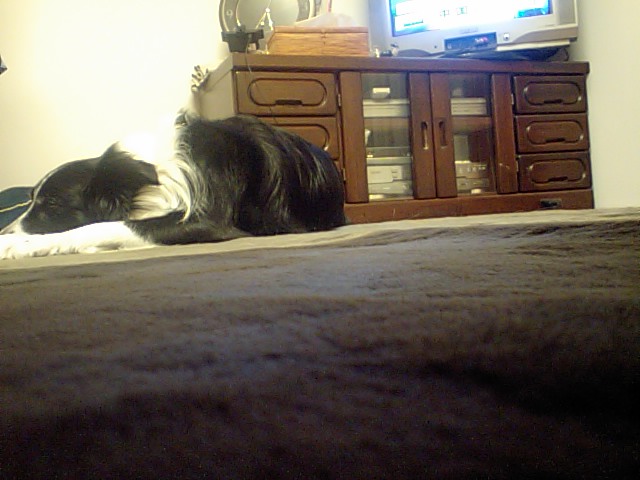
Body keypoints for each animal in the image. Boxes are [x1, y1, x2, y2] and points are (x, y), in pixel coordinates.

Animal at [0, 114, 346, 259]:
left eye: (52, 205)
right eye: (30, 199)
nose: (5, 231)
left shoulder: (209, 221)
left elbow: (104, 226)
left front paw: (22, 245)